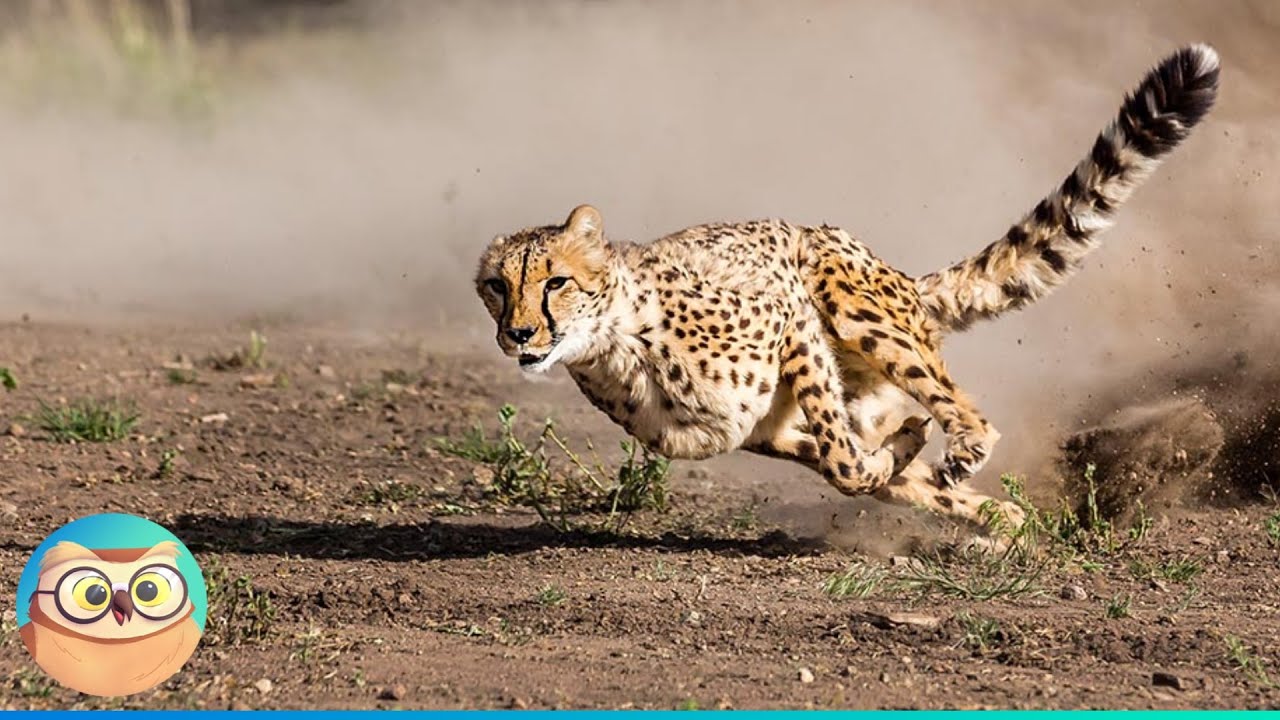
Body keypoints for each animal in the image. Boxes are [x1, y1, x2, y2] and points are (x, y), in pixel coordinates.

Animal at [473, 44, 1219, 526]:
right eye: (496, 288)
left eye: (556, 281)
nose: (519, 334)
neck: (616, 343)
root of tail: (899, 274)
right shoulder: (764, 430)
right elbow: (854, 466)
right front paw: (920, 469)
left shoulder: (790, 320)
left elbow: (845, 461)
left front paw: (910, 454)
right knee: (910, 456)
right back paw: (1002, 525)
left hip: (850, 301)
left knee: (966, 412)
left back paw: (964, 453)